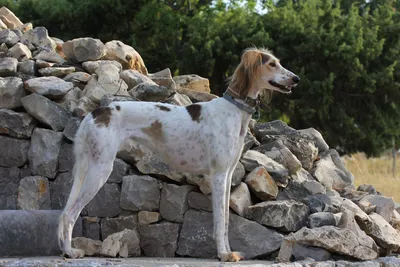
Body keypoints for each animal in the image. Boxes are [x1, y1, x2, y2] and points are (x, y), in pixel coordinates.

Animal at [57, 47, 298, 262]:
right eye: (272, 64)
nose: (296, 79)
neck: (234, 111)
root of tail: (95, 113)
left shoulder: (228, 175)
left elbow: (226, 221)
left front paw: (229, 252)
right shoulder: (218, 175)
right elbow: (220, 220)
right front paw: (223, 254)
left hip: (88, 166)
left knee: (66, 212)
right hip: (100, 168)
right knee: (69, 214)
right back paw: (70, 252)